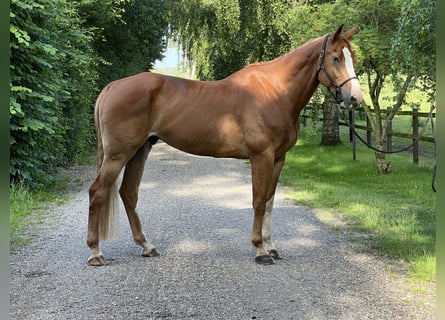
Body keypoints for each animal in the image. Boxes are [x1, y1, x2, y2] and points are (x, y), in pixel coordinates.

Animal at [86, 24, 360, 264]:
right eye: (336, 58)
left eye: (352, 56)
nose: (355, 98)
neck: (275, 93)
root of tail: (113, 87)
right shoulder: (261, 157)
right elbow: (258, 201)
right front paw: (260, 250)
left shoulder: (279, 158)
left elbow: (270, 201)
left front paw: (271, 247)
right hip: (118, 154)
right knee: (98, 191)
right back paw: (96, 252)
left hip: (139, 150)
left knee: (128, 193)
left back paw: (146, 246)